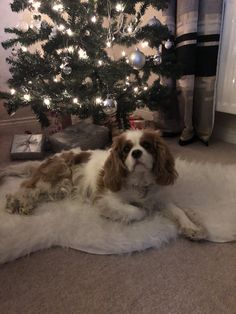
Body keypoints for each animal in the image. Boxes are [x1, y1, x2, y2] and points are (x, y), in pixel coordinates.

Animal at [2, 130, 206, 240]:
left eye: (147, 145)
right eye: (126, 149)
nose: (136, 153)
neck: (139, 180)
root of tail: (50, 157)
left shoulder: (157, 198)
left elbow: (178, 211)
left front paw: (192, 227)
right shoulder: (107, 199)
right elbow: (137, 210)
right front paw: (141, 211)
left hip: (59, 187)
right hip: (53, 177)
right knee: (25, 188)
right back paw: (18, 204)